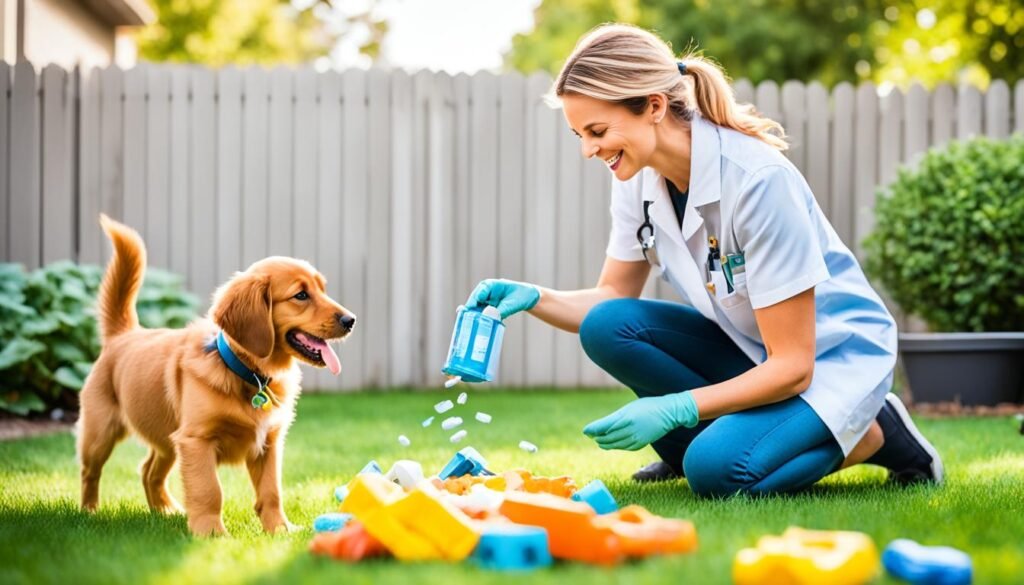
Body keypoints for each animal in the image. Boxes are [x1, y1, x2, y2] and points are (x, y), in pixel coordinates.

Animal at [77, 214, 356, 536]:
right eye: (300, 295)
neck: (248, 374)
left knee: (149, 471)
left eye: (323, 290)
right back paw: (89, 512)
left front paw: (279, 530)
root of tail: (123, 334)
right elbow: (209, 490)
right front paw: (212, 534)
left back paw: (166, 510)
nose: (351, 320)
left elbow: (272, 491)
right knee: (90, 471)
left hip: (167, 437)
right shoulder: (196, 439)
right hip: (101, 431)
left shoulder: (269, 442)